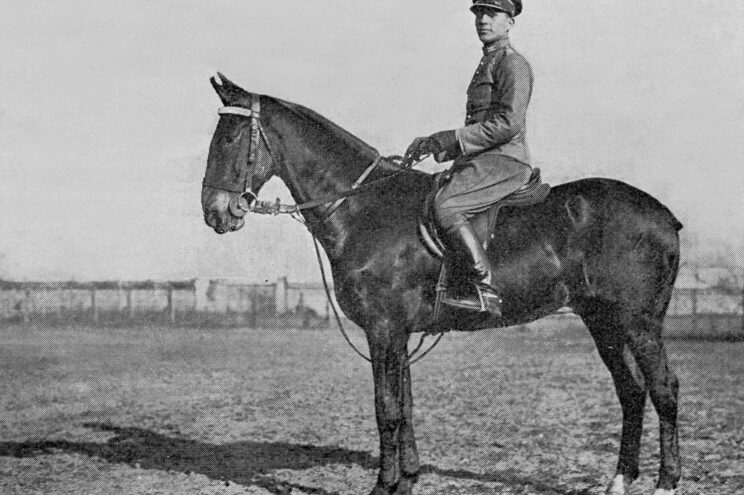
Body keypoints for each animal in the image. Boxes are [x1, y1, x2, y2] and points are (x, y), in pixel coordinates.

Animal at [201, 73, 683, 495]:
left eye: (229, 138)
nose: (214, 211)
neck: (362, 208)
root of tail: (665, 216)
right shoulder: (399, 332)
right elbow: (407, 406)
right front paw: (408, 478)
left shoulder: (383, 329)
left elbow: (387, 408)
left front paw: (384, 485)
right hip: (603, 322)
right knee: (631, 391)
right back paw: (620, 479)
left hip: (639, 323)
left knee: (663, 389)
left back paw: (667, 482)